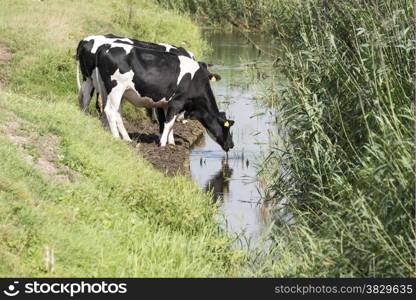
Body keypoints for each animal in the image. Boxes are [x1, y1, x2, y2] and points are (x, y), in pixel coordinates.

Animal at [94, 43, 236, 151]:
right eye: (226, 127)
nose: (231, 145)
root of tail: (106, 46)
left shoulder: (168, 104)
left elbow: (170, 124)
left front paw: (171, 142)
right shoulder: (176, 102)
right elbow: (168, 123)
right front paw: (162, 144)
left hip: (111, 91)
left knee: (115, 112)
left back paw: (124, 137)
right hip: (116, 89)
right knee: (110, 111)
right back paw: (116, 137)